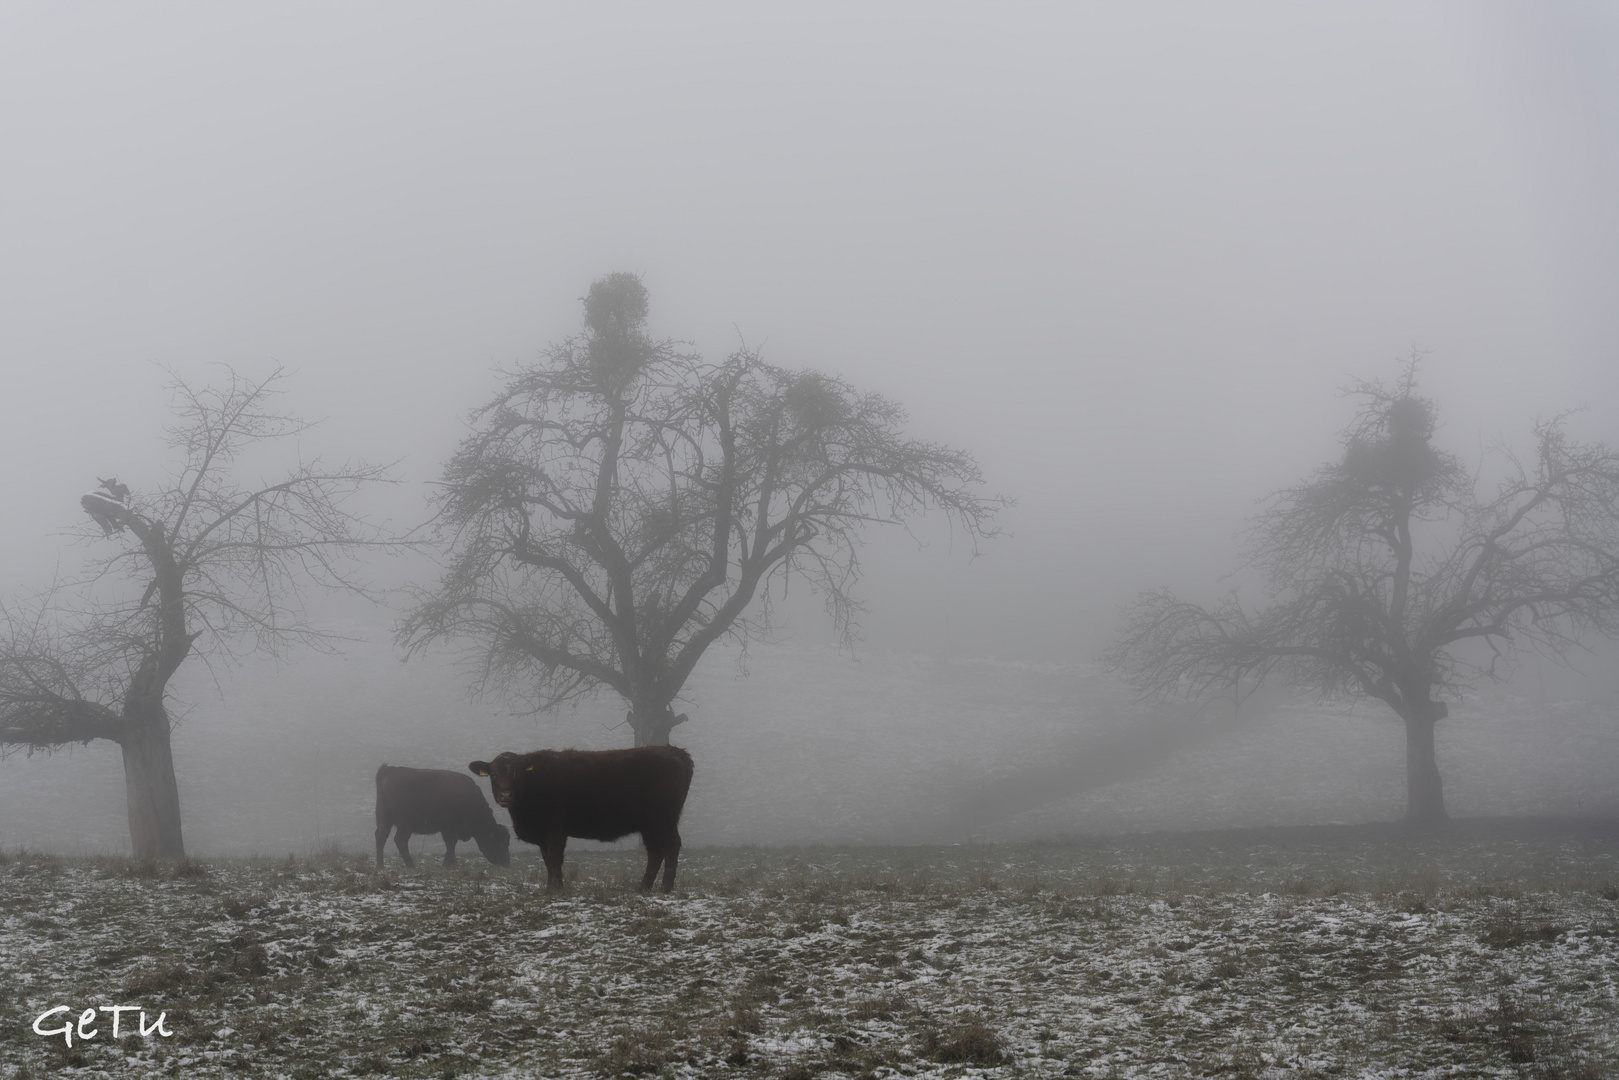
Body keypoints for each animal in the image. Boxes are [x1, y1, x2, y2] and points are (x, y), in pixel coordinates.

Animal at [373, 767, 511, 867]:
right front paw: (447, 864)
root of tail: (388, 770)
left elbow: (450, 845)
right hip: (405, 824)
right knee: (400, 840)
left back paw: (380, 866)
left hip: (385, 820)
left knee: (381, 837)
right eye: (501, 843)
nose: (506, 864)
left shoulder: (447, 830)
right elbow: (451, 845)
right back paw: (411, 866)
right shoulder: (451, 829)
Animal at [469, 748, 696, 893]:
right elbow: (547, 861)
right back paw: (643, 888)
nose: (506, 795)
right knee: (655, 852)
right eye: (493, 774)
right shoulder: (543, 833)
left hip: (664, 819)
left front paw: (557, 889)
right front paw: (549, 887)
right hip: (649, 825)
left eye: (517, 773)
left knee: (671, 846)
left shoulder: (555, 830)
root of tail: (674, 751)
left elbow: (554, 859)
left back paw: (665, 888)